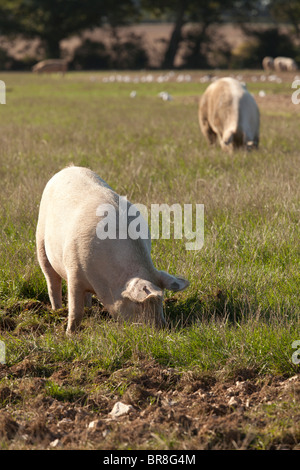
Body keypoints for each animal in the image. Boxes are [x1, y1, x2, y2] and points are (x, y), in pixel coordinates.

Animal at [36, 167, 189, 332]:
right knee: (52, 282)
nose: (162, 328)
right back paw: (56, 311)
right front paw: (70, 333)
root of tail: (68, 168)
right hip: (40, 241)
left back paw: (89, 310)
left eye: (161, 300)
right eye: (137, 303)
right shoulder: (73, 271)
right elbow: (76, 310)